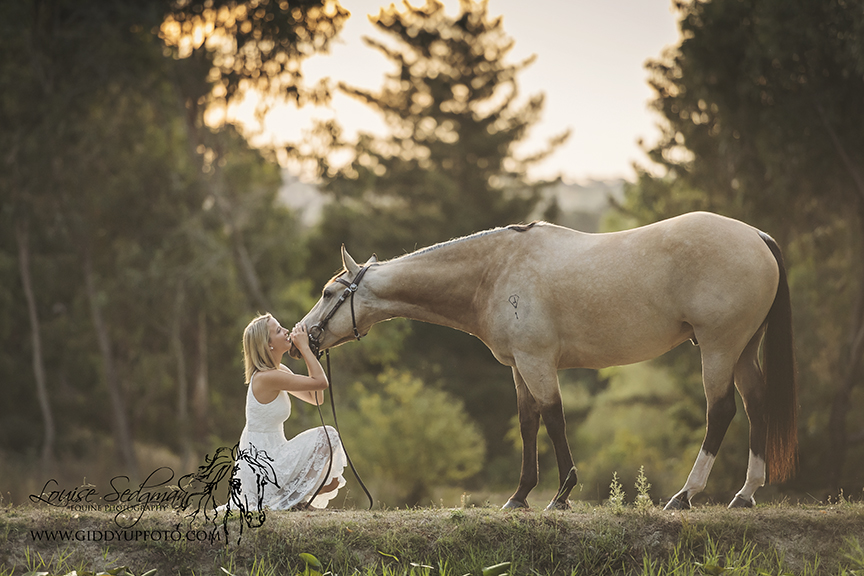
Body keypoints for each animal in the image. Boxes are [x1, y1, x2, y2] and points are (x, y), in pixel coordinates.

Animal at [294, 212, 800, 508]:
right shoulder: (520, 367)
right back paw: (745, 495)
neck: (494, 272)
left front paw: (561, 494)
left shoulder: (537, 362)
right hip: (741, 350)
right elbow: (528, 423)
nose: (305, 336)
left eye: (329, 293)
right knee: (756, 405)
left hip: (718, 347)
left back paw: (685, 494)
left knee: (722, 411)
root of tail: (758, 236)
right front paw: (520, 496)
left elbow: (554, 419)